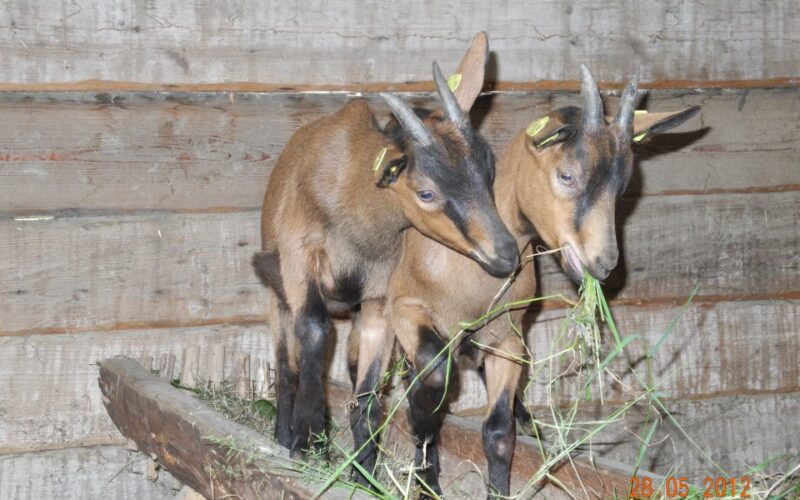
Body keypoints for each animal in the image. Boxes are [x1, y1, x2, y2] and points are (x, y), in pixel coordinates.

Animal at [253, 33, 518, 485]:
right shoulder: (300, 256)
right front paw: (308, 440)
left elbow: (369, 388)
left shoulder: (379, 297)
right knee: (286, 360)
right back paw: (283, 432)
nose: (506, 253)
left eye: (489, 169)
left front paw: (364, 472)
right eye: (426, 192)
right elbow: (314, 330)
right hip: (277, 293)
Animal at [374, 66, 701, 497]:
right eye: (566, 175)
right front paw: (426, 481)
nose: (604, 262)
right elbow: (429, 388)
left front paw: (498, 486)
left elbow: (498, 432)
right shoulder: (409, 310)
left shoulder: (508, 337)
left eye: (623, 186)